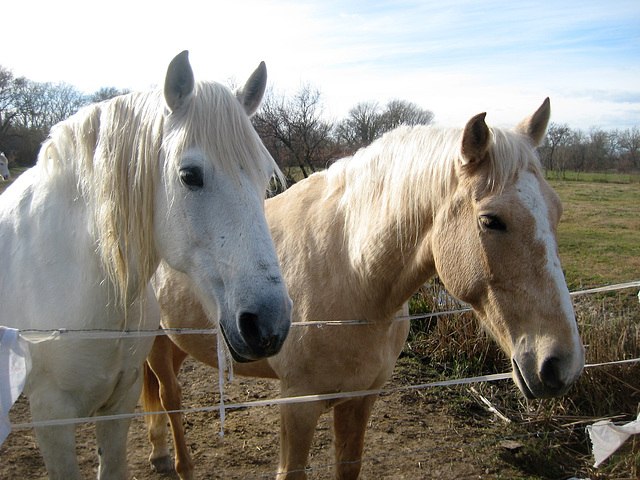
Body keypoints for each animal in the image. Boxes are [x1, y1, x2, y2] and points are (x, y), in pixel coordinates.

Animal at [142, 99, 584, 478]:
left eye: (558, 212)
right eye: (492, 221)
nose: (561, 365)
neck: (350, 272)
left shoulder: (361, 399)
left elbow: (348, 466)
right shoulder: (298, 407)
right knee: (170, 398)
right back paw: (177, 464)